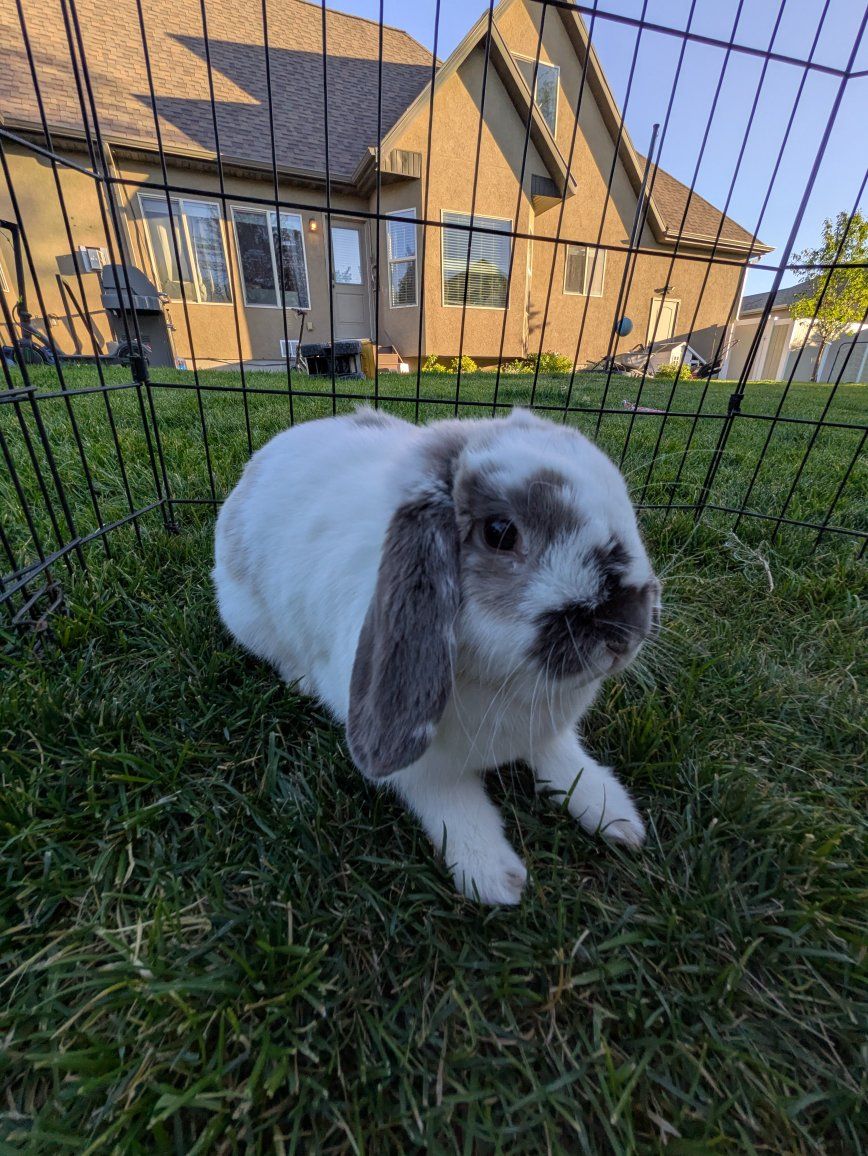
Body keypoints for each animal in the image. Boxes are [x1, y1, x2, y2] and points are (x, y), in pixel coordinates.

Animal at [213, 406, 660, 905]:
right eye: (500, 533)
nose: (626, 633)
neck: (502, 683)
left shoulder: (546, 732)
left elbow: (561, 758)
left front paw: (615, 815)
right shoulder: (422, 770)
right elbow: (454, 804)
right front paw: (494, 877)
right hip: (246, 616)